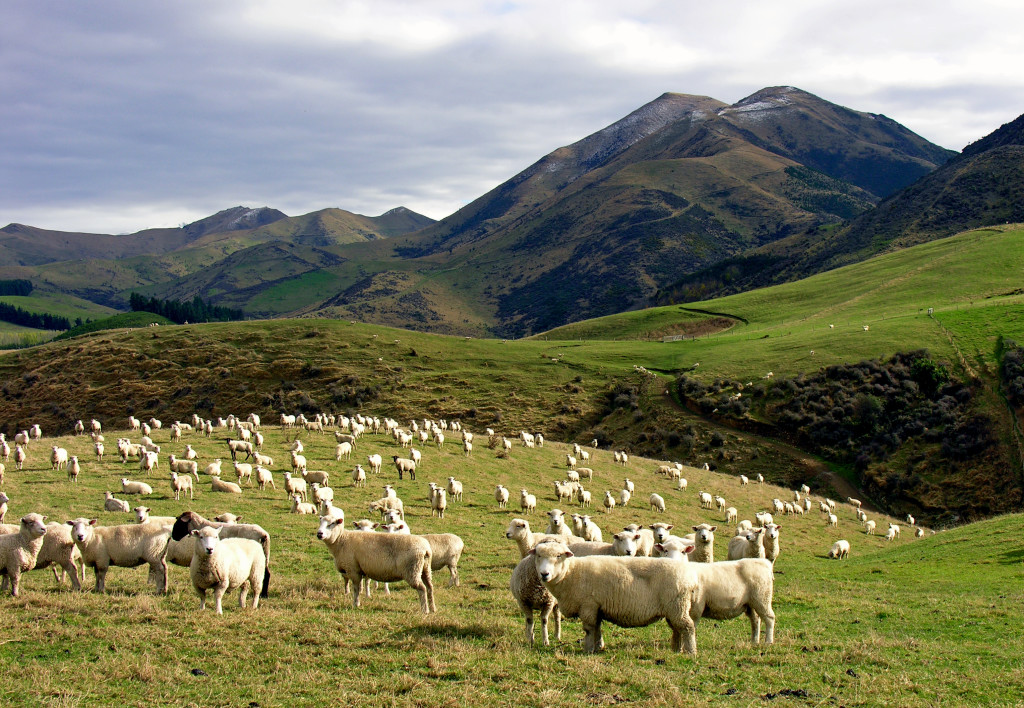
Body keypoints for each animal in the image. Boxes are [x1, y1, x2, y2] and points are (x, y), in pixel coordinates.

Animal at [532, 540, 700, 651]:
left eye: (559, 556)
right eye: (538, 556)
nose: (544, 574)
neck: (571, 573)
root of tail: (690, 577)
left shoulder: (588, 605)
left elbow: (589, 629)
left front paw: (588, 649)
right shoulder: (598, 607)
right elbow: (598, 628)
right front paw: (598, 646)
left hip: (677, 606)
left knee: (688, 627)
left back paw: (690, 652)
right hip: (674, 609)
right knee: (677, 629)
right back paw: (676, 649)